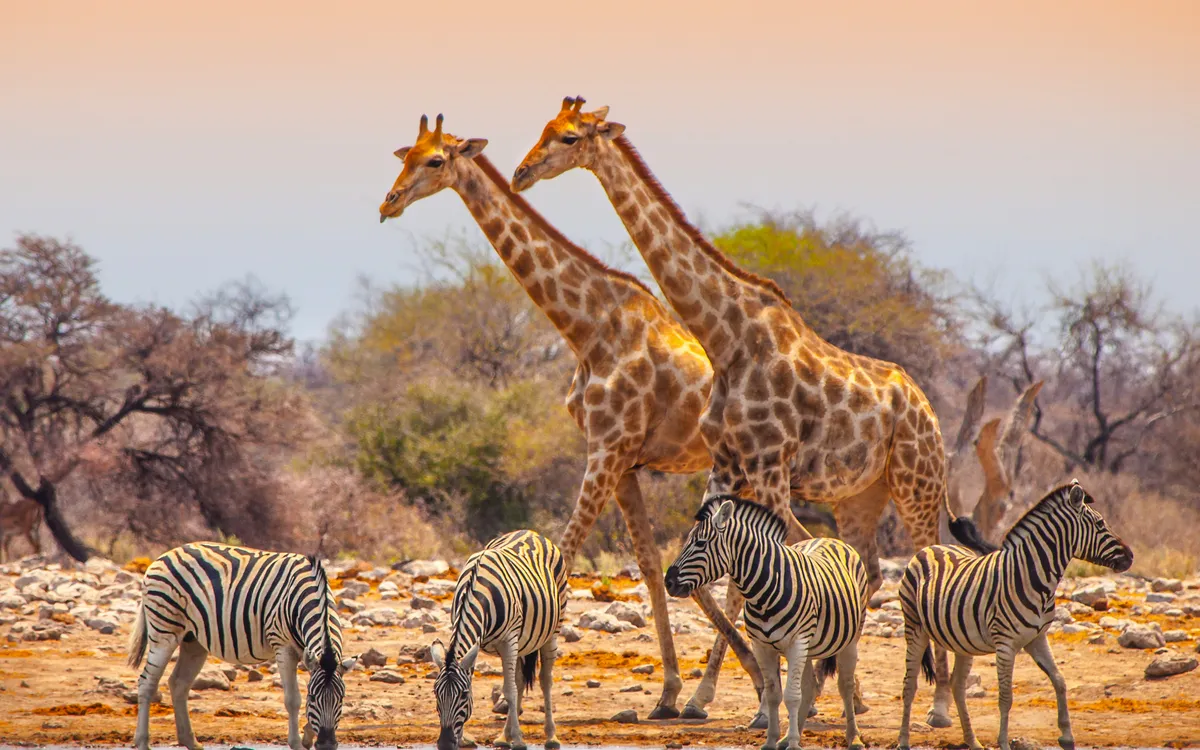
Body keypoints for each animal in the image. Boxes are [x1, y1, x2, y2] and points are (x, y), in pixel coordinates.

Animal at [128, 542, 358, 750]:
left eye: (341, 698)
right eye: (313, 697)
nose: (327, 745)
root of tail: (164, 555)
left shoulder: (308, 653)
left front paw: (308, 738)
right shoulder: (283, 645)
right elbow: (292, 699)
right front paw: (297, 743)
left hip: (193, 640)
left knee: (178, 683)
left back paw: (191, 741)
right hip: (164, 630)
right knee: (147, 683)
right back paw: (143, 742)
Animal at [429, 529, 568, 750]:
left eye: (464, 695)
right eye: (436, 693)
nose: (445, 744)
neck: (477, 590)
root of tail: (530, 532)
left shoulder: (508, 640)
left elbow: (509, 691)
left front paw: (519, 740)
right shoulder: (476, 641)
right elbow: (507, 686)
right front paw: (465, 739)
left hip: (552, 630)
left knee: (545, 680)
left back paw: (551, 736)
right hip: (522, 642)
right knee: (520, 680)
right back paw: (504, 737)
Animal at [664, 496, 870, 750]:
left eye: (701, 543)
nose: (668, 582)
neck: (763, 592)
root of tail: (830, 538)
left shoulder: (796, 643)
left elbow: (792, 696)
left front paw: (794, 744)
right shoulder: (761, 646)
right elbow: (774, 695)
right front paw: (774, 741)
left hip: (849, 638)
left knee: (845, 685)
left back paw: (853, 738)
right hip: (810, 646)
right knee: (810, 686)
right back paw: (789, 737)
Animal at [897, 480, 1133, 750]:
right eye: (1100, 524)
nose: (1131, 556)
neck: (1033, 577)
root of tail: (931, 547)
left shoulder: (1037, 638)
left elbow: (1060, 680)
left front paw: (1066, 735)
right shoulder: (1006, 644)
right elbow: (1006, 697)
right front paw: (1003, 742)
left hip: (961, 640)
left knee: (957, 686)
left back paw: (973, 741)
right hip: (914, 627)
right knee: (909, 685)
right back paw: (903, 741)